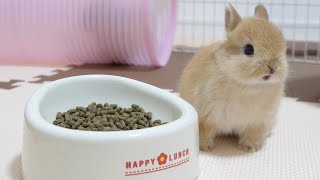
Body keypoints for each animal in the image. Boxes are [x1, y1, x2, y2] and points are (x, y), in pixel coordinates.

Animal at [180, 3, 288, 151]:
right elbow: (205, 131)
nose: (273, 66)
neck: (248, 85)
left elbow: (253, 134)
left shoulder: (258, 122)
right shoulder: (206, 117)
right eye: (248, 49)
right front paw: (206, 147)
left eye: (283, 47)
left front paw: (250, 147)